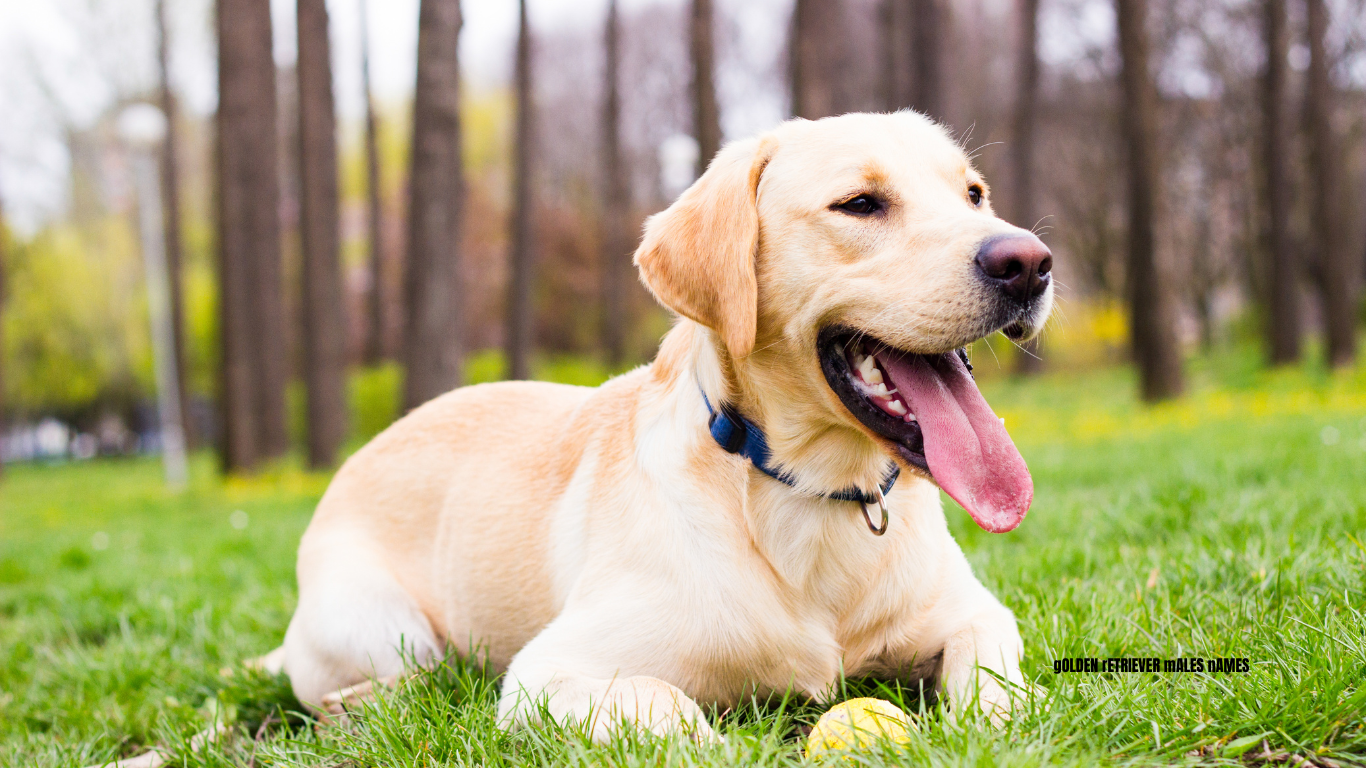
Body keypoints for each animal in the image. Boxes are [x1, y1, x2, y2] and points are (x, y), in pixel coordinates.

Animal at [269, 110, 1054, 737]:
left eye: (974, 194)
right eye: (860, 204)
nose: (1029, 262)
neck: (812, 492)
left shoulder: (974, 612)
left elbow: (995, 673)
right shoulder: (547, 675)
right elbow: (668, 705)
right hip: (383, 624)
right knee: (409, 676)